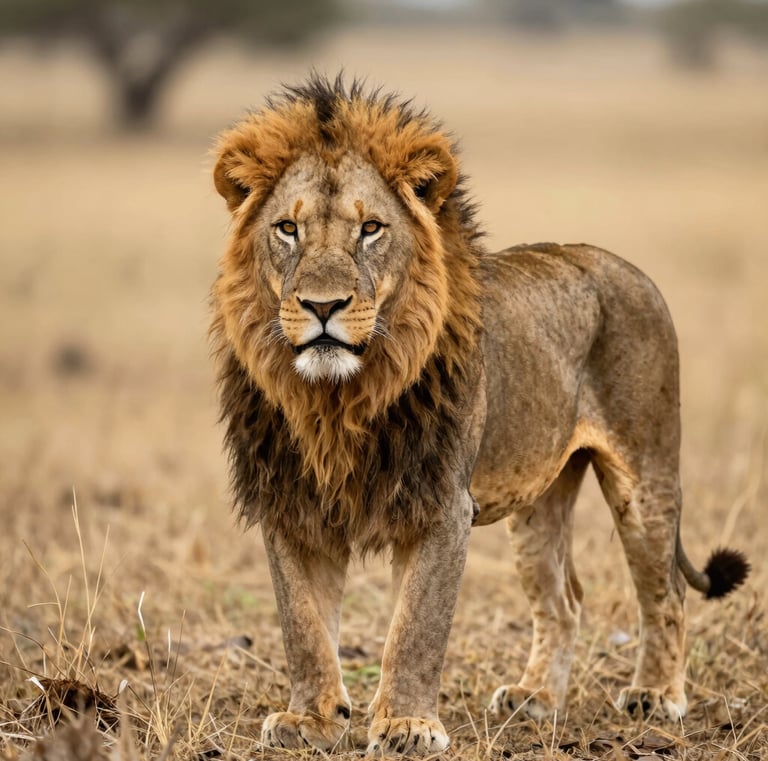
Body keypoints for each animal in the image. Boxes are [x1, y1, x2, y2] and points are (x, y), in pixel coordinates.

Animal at [209, 75, 749, 755]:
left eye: (371, 229)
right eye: (287, 228)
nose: (323, 305)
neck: (337, 399)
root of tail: (625, 266)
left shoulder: (442, 504)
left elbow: (416, 627)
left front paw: (407, 725)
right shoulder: (291, 503)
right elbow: (302, 625)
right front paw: (311, 720)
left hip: (645, 476)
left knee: (665, 591)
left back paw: (656, 695)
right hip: (540, 498)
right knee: (564, 601)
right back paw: (535, 699)